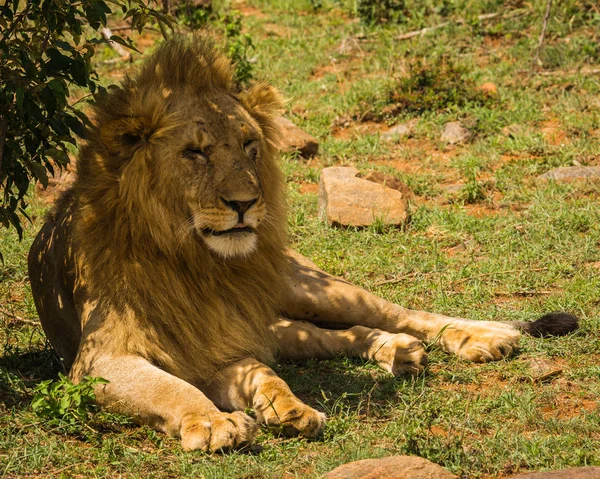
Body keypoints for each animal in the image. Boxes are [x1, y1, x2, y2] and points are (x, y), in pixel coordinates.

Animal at [27, 34, 576, 454]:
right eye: (195, 153)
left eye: (249, 145)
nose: (245, 202)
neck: (199, 265)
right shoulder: (103, 359)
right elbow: (173, 387)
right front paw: (222, 420)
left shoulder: (222, 342)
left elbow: (261, 374)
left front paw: (281, 406)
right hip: (282, 318)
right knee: (334, 335)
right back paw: (396, 351)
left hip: (309, 286)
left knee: (402, 312)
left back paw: (481, 338)